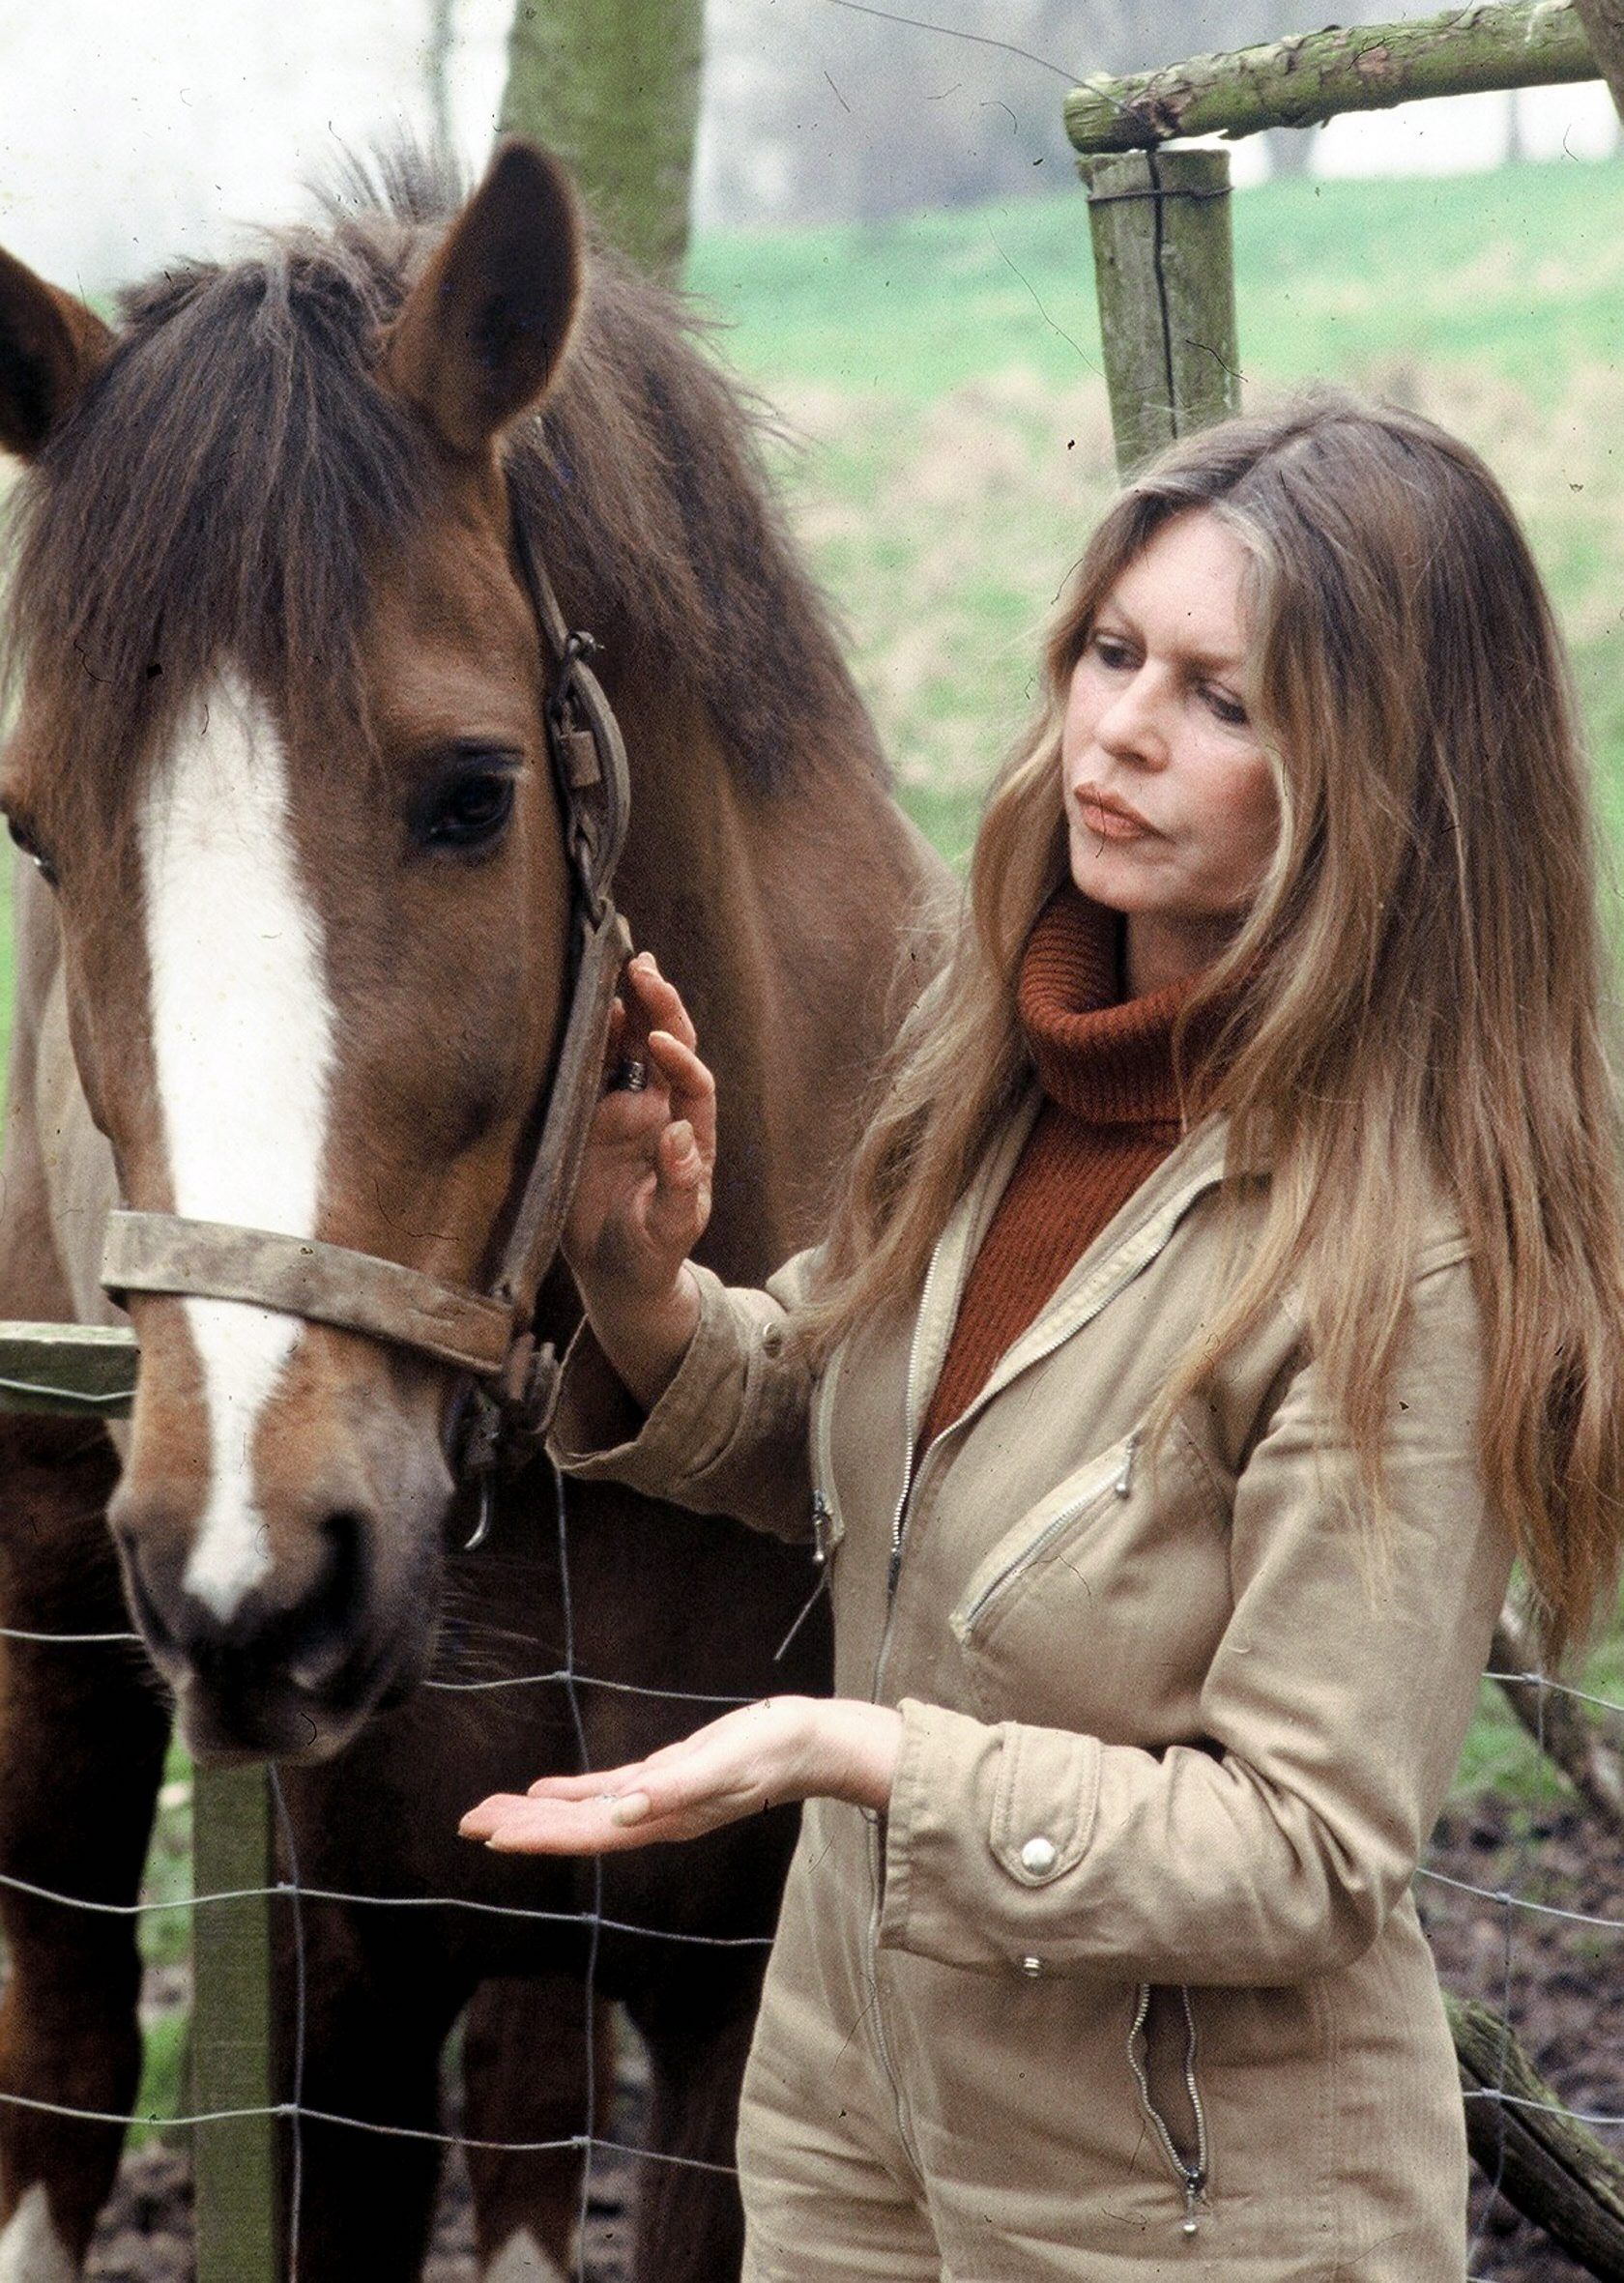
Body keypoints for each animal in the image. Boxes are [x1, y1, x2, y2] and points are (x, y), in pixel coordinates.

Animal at [0, 142, 942, 2280]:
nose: (258, 1566)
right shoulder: (349, 1985)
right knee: (68, 2061)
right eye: (33, 825)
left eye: (473, 792)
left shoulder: (728, 1993)